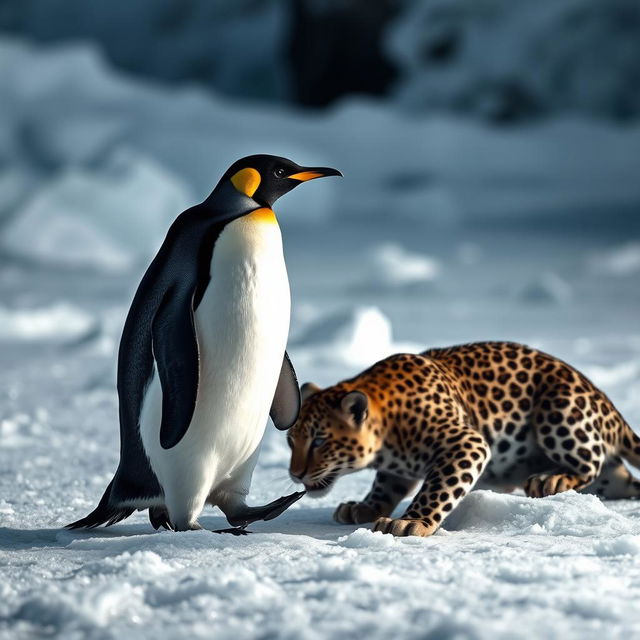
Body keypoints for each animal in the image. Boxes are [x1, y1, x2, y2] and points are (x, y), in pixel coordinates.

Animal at [288, 342, 640, 536]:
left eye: (319, 441)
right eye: (291, 441)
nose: (295, 473)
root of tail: (607, 404)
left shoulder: (465, 442)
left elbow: (438, 488)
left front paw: (410, 522)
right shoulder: (394, 470)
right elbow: (385, 486)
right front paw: (364, 507)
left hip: (559, 409)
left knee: (589, 463)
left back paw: (550, 479)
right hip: (608, 475)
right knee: (622, 479)